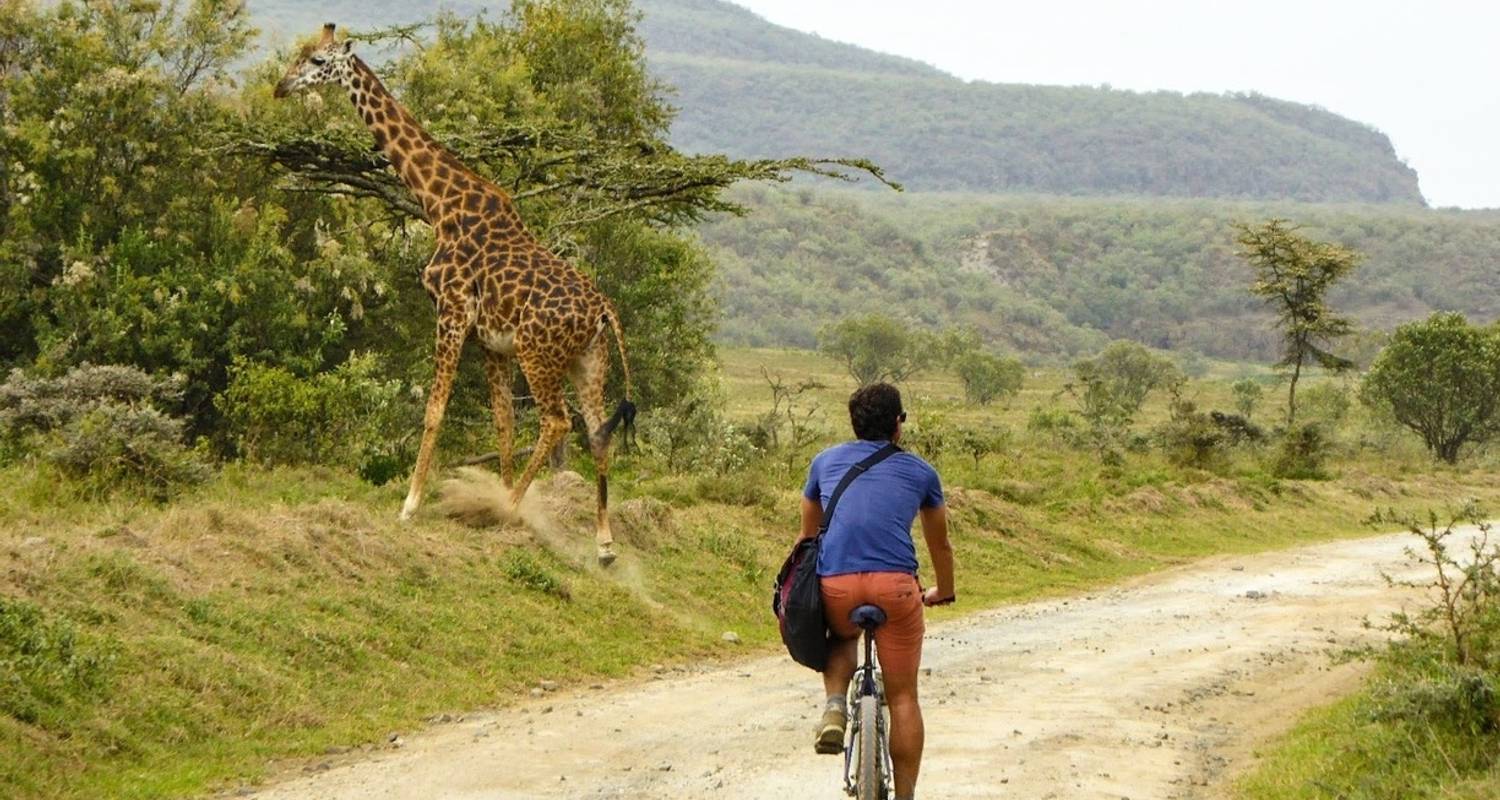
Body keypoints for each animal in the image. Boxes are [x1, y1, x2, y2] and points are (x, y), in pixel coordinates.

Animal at [273, 23, 636, 561]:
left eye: (318, 61)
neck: (440, 203)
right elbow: (503, 421)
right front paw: (494, 489)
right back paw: (604, 542)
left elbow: (434, 409)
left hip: (538, 351)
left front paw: (412, 504)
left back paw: (510, 508)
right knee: (596, 430)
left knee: (557, 422)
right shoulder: (490, 340)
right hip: (588, 360)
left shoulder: (451, 310)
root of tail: (603, 309)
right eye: (299, 53)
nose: (281, 87)